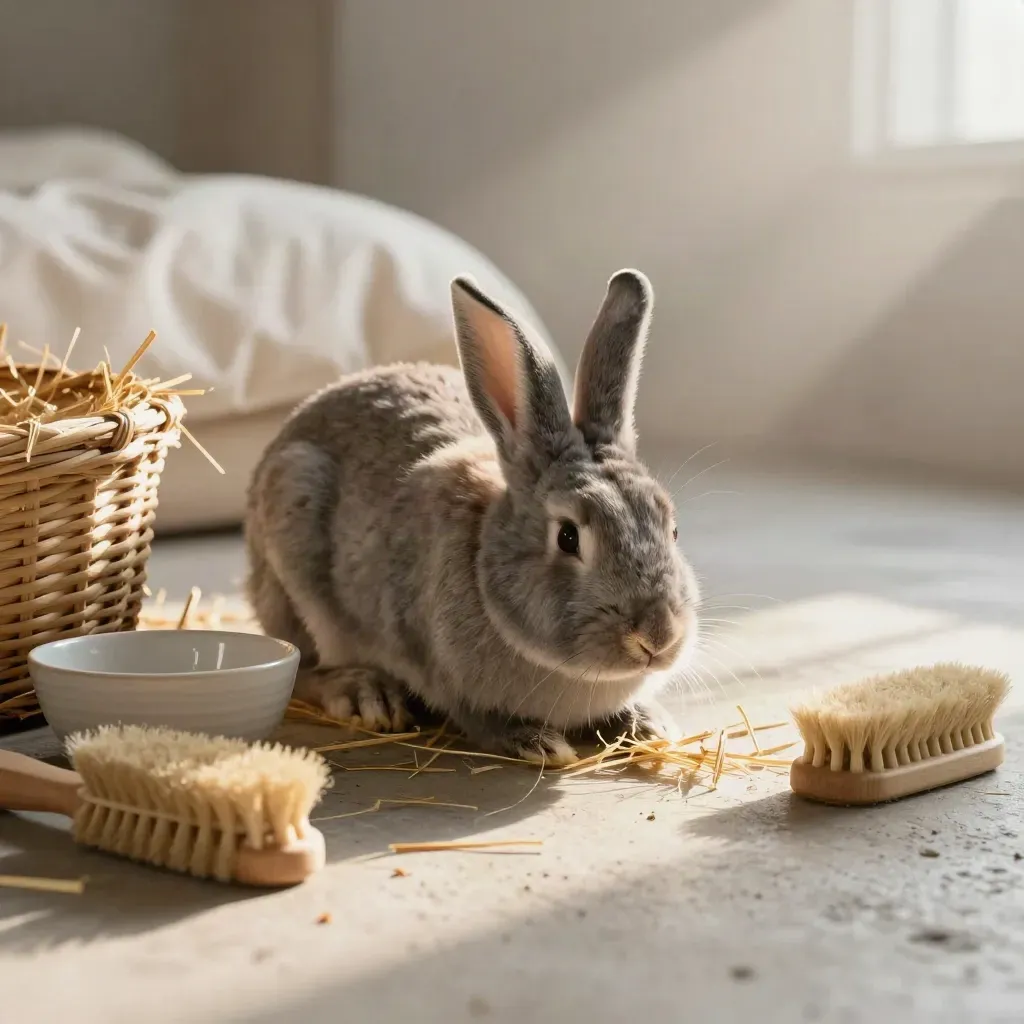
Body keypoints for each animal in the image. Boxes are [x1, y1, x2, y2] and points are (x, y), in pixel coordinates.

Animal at [245, 268, 700, 765]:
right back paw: (366, 692)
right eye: (567, 537)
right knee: (304, 666)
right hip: (296, 534)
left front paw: (649, 725)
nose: (657, 636)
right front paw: (537, 742)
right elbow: (478, 718)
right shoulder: (436, 666)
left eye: (674, 530)